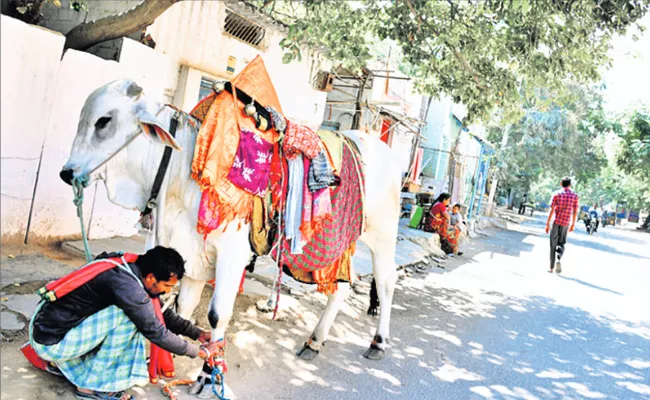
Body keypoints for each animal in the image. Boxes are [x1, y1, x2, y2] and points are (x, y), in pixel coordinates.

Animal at [60, 79, 402, 390]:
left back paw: (378, 341)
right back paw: (314, 341)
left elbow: (216, 314)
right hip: (338, 246)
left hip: (382, 235)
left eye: (104, 120)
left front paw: (208, 373)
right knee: (341, 288)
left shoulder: (231, 254)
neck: (183, 172)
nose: (66, 172)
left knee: (386, 282)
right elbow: (182, 307)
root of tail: (380, 146)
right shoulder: (189, 252)